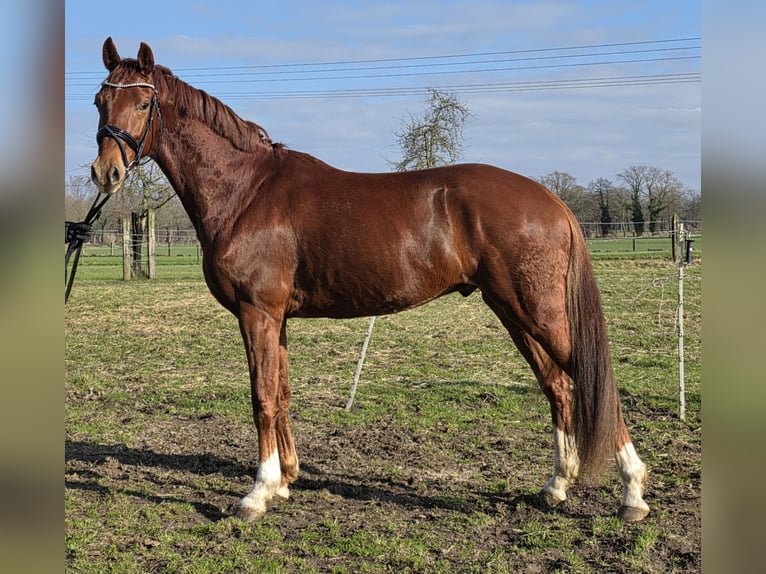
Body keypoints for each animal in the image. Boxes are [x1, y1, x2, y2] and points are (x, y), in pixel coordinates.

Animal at [90, 37, 649, 522]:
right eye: (100, 100)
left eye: (144, 102)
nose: (105, 173)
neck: (246, 190)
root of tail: (552, 199)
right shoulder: (278, 319)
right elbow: (282, 392)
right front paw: (285, 481)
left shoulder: (258, 313)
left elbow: (262, 397)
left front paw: (256, 494)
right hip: (513, 310)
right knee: (557, 385)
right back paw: (556, 486)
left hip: (537, 309)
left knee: (590, 379)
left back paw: (632, 492)